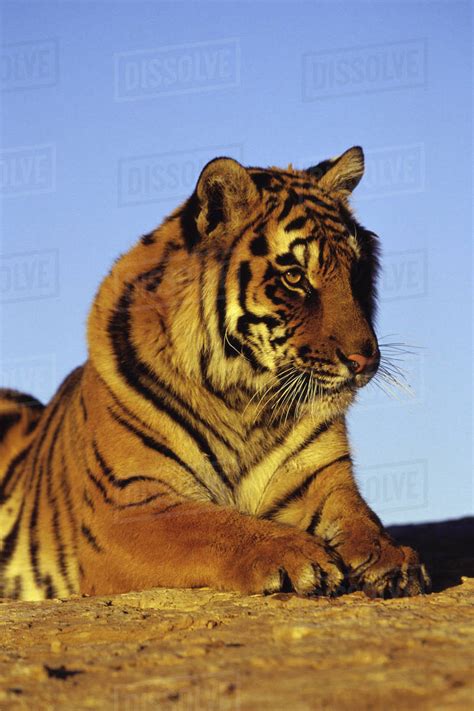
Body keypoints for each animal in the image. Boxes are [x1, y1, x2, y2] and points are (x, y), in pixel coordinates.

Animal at [0, 146, 430, 600]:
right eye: (295, 277)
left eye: (356, 273)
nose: (364, 359)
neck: (246, 398)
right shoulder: (128, 505)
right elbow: (213, 528)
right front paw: (298, 555)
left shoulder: (323, 480)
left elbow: (361, 519)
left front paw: (392, 557)